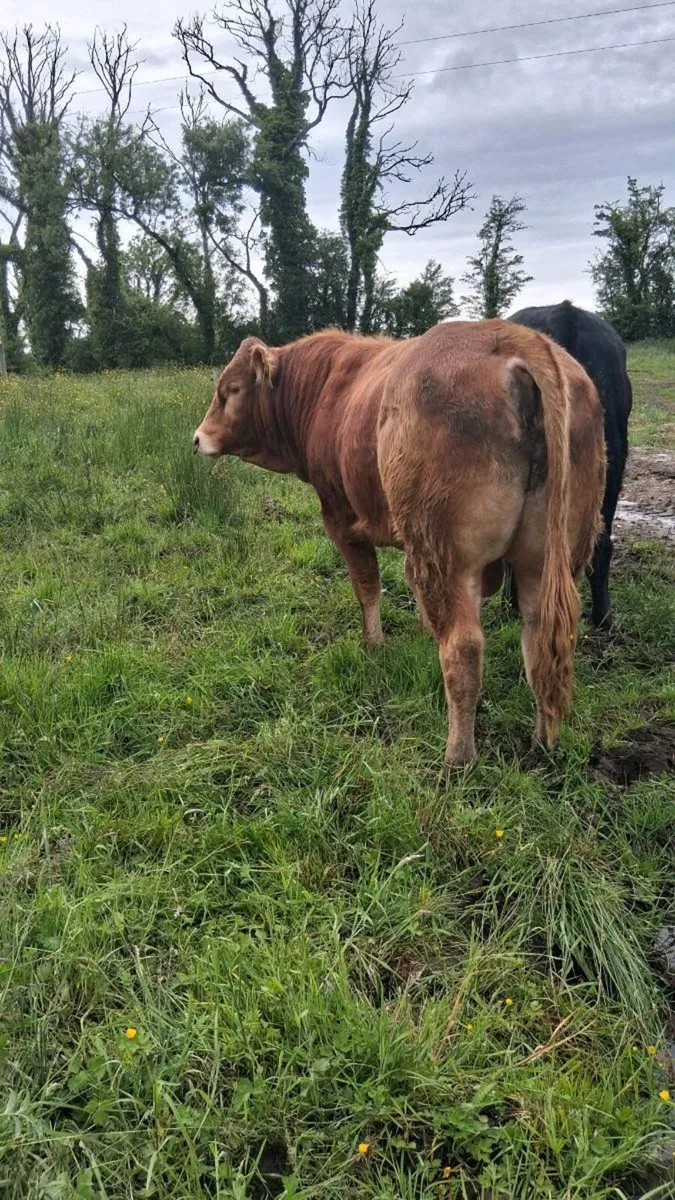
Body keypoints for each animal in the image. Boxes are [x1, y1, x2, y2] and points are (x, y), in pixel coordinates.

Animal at [193, 321, 605, 765]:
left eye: (232, 389)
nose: (198, 438)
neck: (326, 391)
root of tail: (514, 337)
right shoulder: (412, 541)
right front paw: (423, 633)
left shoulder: (341, 519)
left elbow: (367, 587)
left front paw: (373, 645)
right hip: (546, 560)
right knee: (542, 640)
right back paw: (543, 741)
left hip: (449, 556)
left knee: (463, 649)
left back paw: (458, 757)